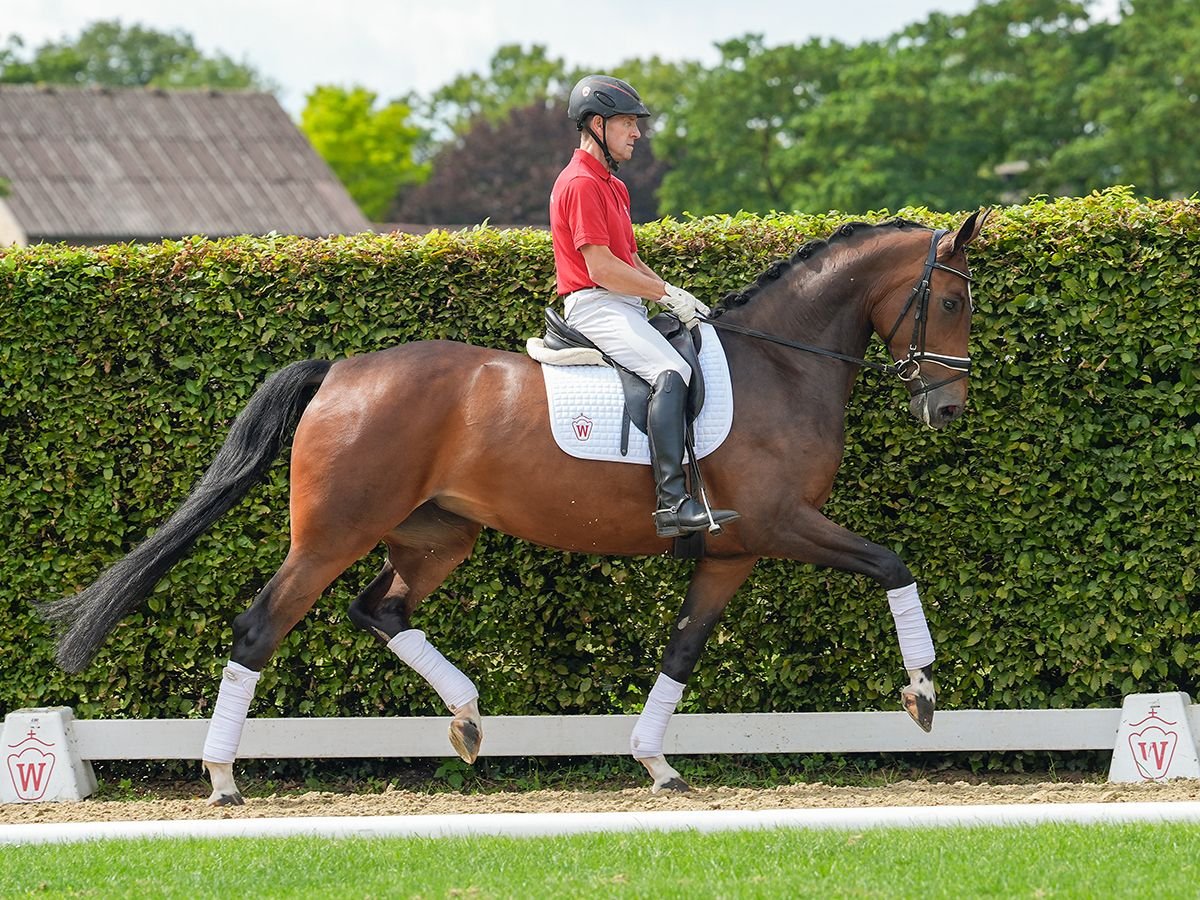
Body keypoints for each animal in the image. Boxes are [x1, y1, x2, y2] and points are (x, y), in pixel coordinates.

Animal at [42, 213, 988, 811]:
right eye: (950, 301)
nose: (947, 409)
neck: (780, 366)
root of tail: (342, 370)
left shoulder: (732, 552)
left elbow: (682, 651)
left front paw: (656, 763)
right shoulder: (778, 524)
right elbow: (893, 563)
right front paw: (923, 691)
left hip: (436, 535)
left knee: (379, 609)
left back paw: (466, 717)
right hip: (333, 534)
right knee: (260, 629)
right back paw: (223, 779)